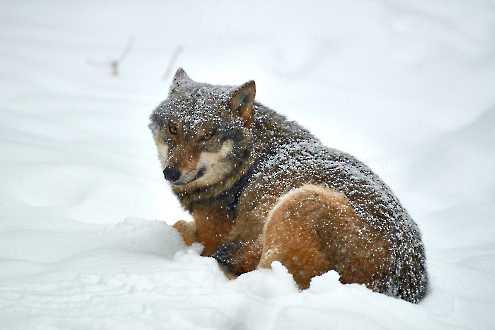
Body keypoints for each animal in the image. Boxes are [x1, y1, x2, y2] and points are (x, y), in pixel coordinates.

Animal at [149, 68, 428, 302]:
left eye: (207, 135)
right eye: (173, 129)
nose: (171, 172)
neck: (248, 162)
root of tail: (397, 284)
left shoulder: (211, 236)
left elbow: (181, 228)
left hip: (297, 202)